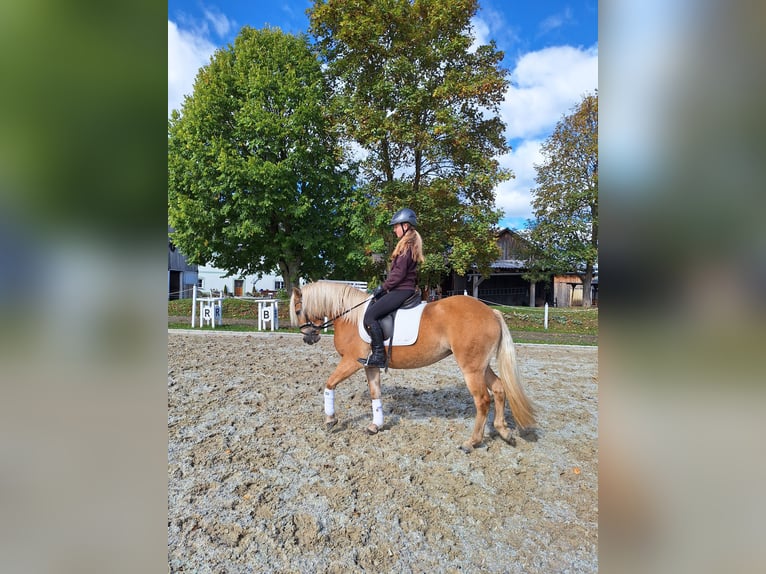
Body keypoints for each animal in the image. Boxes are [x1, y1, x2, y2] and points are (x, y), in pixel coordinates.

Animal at [292, 282, 536, 452]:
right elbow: (375, 394)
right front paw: (375, 426)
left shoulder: (351, 362)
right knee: (499, 389)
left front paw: (330, 420)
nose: (308, 338)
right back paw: (504, 431)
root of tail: (490, 312)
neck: (350, 316)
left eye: (297, 310)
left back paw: (472, 442)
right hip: (481, 366)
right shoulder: (370, 366)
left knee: (483, 400)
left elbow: (329, 384)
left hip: (471, 368)